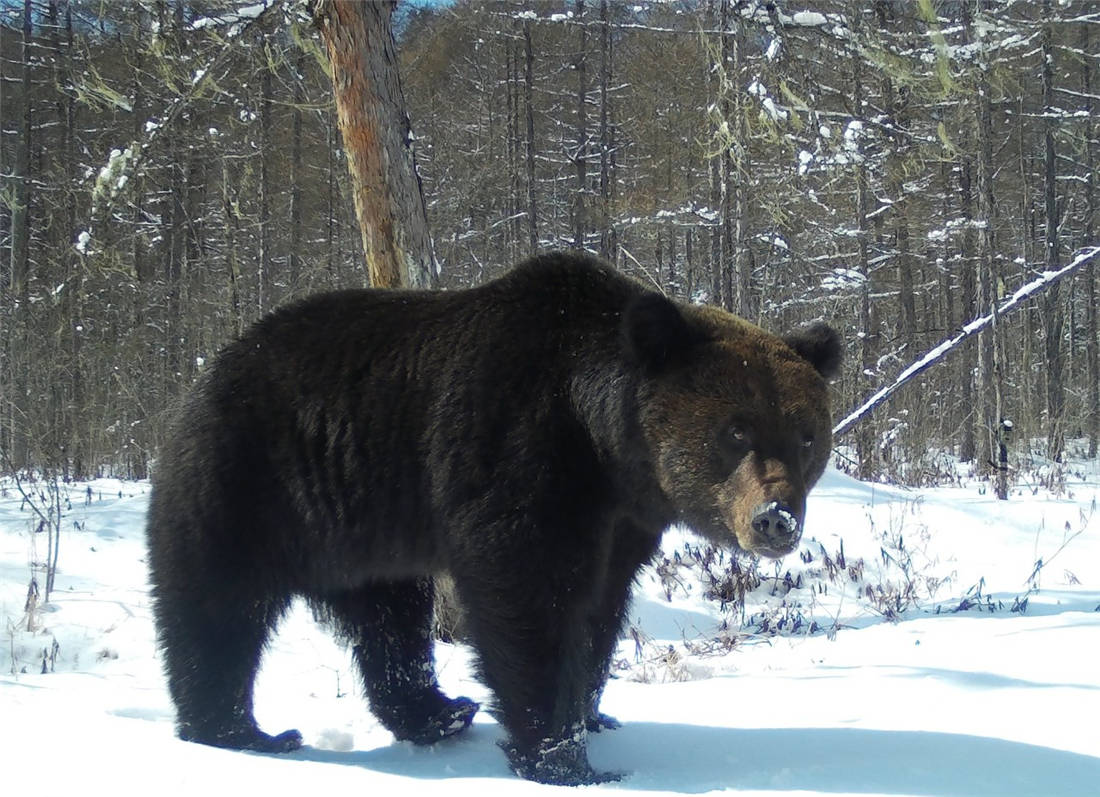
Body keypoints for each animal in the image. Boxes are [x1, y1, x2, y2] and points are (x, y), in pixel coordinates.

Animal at [144, 250, 831, 782]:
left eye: (805, 436)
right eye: (736, 431)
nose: (776, 519)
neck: (602, 444)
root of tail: (208, 369)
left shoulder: (624, 522)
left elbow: (600, 609)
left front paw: (592, 713)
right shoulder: (514, 450)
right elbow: (528, 595)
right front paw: (563, 756)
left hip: (362, 526)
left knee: (389, 620)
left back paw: (440, 711)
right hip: (250, 481)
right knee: (217, 606)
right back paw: (243, 731)